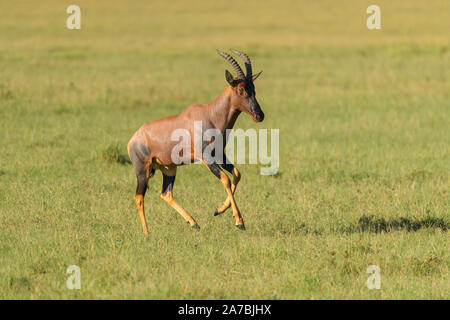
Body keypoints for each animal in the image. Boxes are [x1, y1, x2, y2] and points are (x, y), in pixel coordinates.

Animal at [127, 49, 264, 235]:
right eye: (241, 89)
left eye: (253, 88)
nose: (259, 115)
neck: (210, 115)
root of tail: (133, 139)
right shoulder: (206, 157)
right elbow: (225, 179)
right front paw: (239, 222)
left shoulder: (219, 154)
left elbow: (236, 174)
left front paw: (219, 210)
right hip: (143, 171)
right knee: (139, 197)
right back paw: (147, 233)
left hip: (169, 169)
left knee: (166, 194)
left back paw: (193, 223)